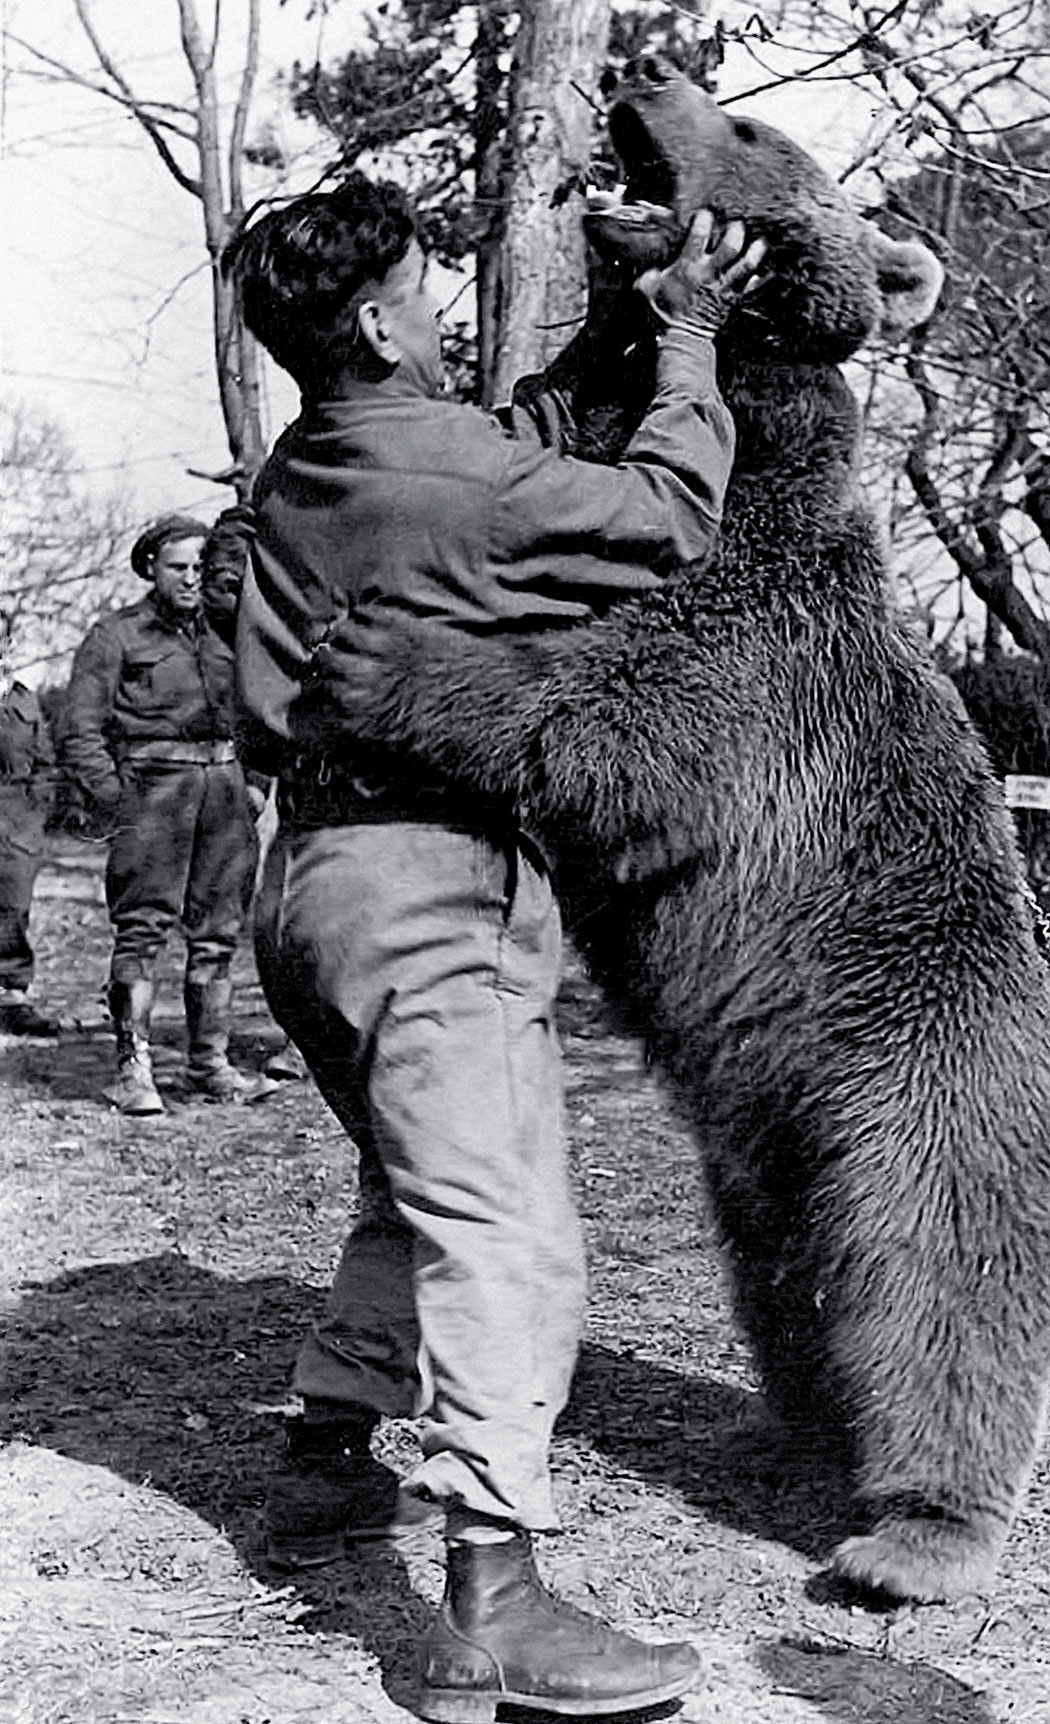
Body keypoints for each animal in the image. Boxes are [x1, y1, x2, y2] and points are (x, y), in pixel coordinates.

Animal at [306, 58, 1050, 1603]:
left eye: (752, 124)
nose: (645, 73)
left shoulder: (739, 623)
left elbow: (619, 720)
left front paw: (386, 655)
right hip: (763, 1148)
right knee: (793, 1282)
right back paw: (795, 1433)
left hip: (915, 1068)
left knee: (935, 1276)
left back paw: (911, 1537)